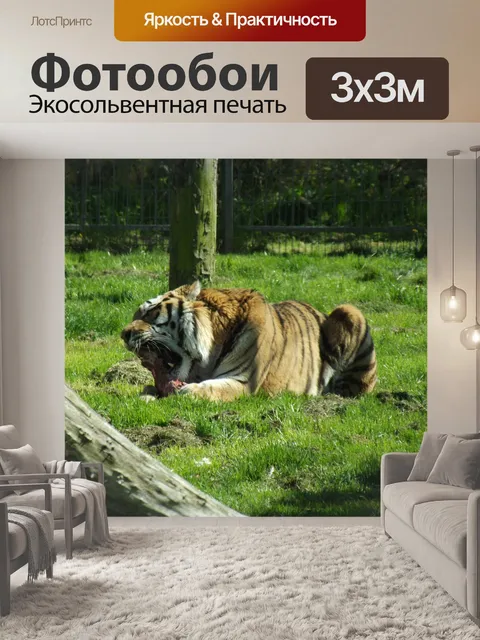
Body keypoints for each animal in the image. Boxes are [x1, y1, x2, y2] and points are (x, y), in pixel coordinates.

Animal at [120, 281, 377, 403]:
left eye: (150, 313)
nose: (123, 334)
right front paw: (147, 394)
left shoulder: (244, 381)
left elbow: (210, 388)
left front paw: (187, 392)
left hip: (349, 311)